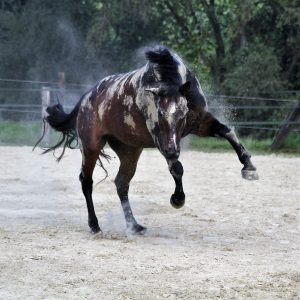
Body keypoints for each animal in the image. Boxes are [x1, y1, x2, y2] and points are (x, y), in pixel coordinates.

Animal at [35, 46, 258, 234]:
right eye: (160, 114)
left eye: (183, 115)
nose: (173, 150)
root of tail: (86, 99)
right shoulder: (160, 138)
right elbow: (176, 168)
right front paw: (177, 199)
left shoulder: (200, 123)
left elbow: (227, 131)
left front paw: (248, 167)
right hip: (91, 146)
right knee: (86, 181)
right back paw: (95, 225)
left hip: (130, 150)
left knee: (121, 183)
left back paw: (133, 225)